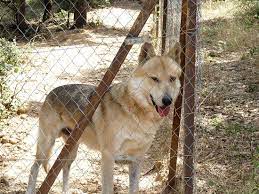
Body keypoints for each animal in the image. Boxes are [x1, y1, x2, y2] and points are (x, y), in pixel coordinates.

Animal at [25, 41, 181, 193]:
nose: (168, 101)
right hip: (46, 145)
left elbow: (134, 189)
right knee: (34, 168)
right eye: (154, 79)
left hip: (71, 150)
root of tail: (51, 92)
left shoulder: (136, 160)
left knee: (64, 167)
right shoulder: (107, 157)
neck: (137, 115)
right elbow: (108, 189)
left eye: (172, 79)